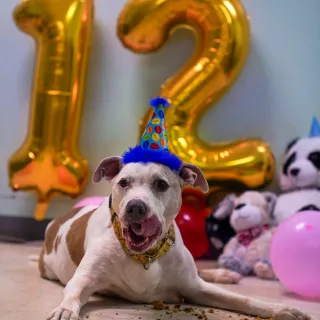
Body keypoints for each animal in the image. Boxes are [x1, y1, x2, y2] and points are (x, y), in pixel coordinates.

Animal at [38, 158, 312, 320]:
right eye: (123, 183)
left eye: (161, 184)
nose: (136, 207)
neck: (147, 256)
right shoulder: (84, 280)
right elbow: (73, 294)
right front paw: (64, 310)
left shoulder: (195, 288)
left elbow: (241, 299)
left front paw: (279, 309)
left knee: (204, 273)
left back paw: (225, 273)